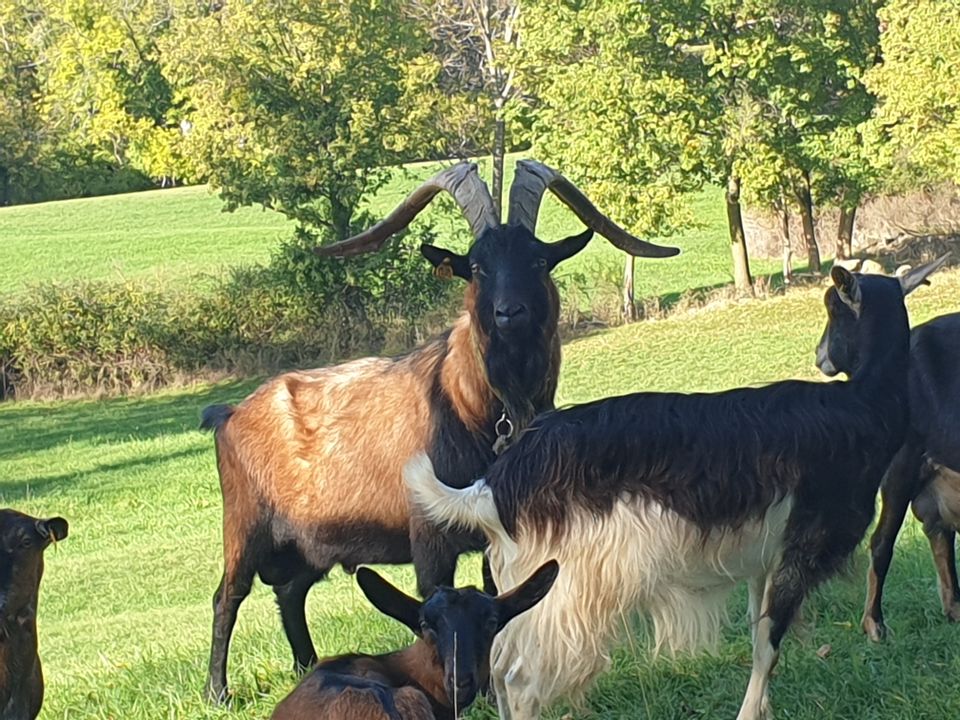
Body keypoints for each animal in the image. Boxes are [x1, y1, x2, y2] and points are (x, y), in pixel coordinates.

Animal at [198, 159, 676, 704]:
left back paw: (306, 664)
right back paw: (218, 691)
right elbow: (431, 601)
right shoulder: (428, 534)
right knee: (228, 595)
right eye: (477, 266)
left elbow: (497, 595)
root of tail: (230, 414)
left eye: (538, 260)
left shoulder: (499, 525)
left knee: (290, 590)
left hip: (308, 541)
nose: (509, 313)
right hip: (245, 524)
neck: (474, 408)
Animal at [404, 260, 944, 720]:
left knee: (498, 669)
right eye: (833, 306)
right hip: (565, 592)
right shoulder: (803, 546)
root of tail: (495, 486)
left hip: (521, 588)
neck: (864, 406)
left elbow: (758, 634)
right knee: (519, 679)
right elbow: (770, 641)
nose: (821, 357)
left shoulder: (765, 558)